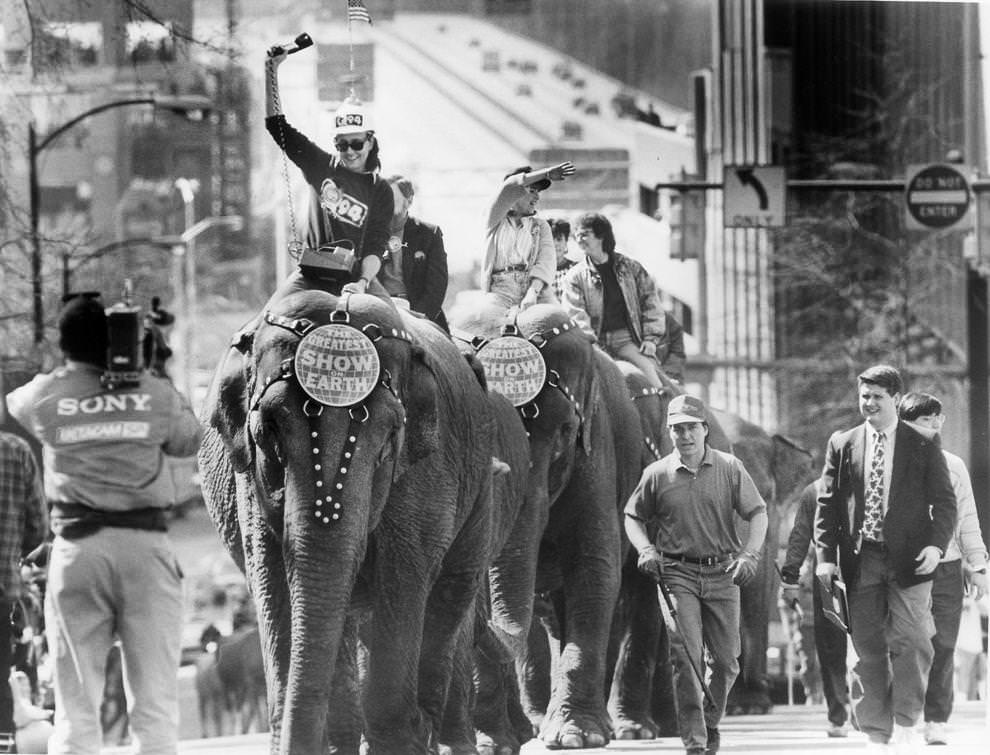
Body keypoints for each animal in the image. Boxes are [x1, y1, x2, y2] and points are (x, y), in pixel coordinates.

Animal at [197, 290, 532, 755]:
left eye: (388, 440)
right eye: (267, 432)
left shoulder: (428, 468)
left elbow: (404, 575)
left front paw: (401, 741)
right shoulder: (248, 479)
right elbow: (274, 576)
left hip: (480, 479)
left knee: (451, 592)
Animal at [450, 296, 644, 752]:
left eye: (565, 431)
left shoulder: (597, 451)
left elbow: (594, 569)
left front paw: (577, 737)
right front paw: (491, 744)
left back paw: (619, 729)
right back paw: (524, 732)